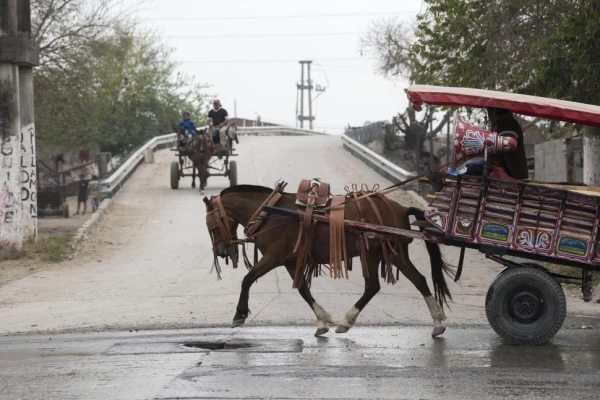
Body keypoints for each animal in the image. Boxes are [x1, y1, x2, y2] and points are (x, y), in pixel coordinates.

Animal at [202, 184, 454, 338]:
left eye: (211, 225)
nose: (221, 251)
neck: (269, 212)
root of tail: (399, 208)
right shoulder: (291, 260)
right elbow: (303, 290)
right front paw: (322, 321)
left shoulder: (274, 257)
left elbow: (247, 279)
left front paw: (239, 314)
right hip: (385, 253)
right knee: (408, 281)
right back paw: (437, 322)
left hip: (385, 252)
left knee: (391, 284)